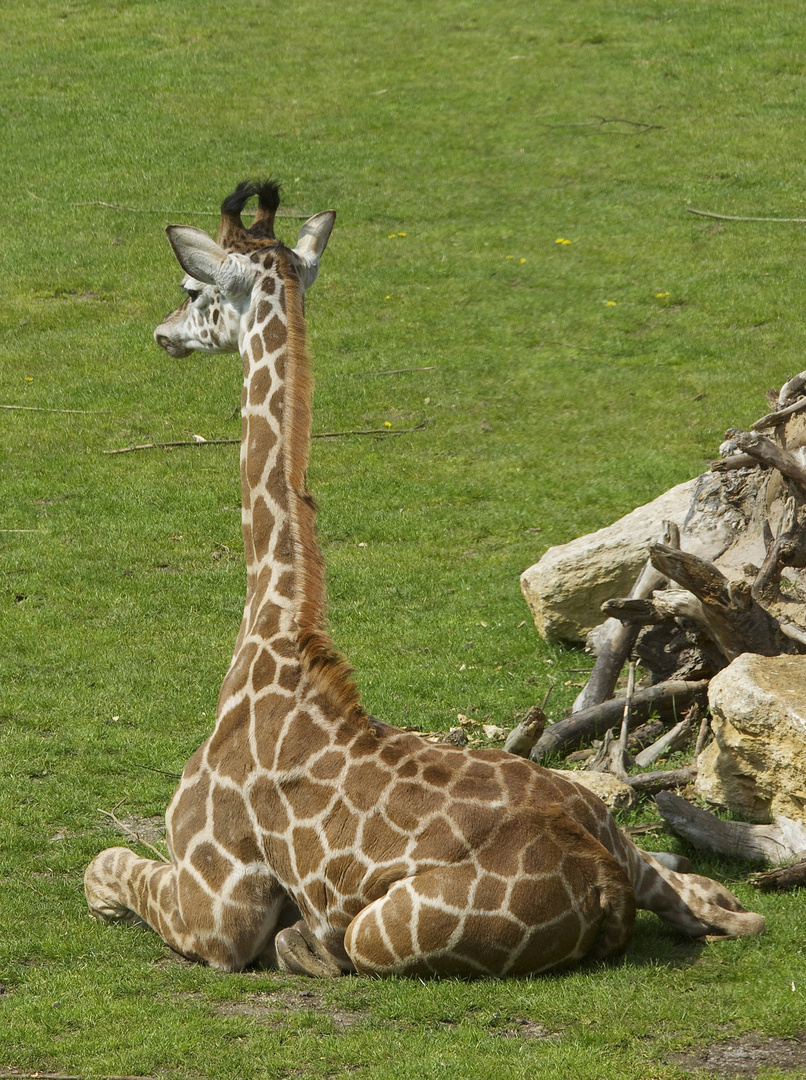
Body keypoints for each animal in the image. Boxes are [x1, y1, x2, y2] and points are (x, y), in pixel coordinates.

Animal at [83, 179, 764, 980]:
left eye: (193, 289)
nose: (163, 333)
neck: (270, 638)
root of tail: (601, 878)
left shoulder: (216, 908)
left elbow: (102, 865)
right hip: (634, 847)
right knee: (723, 905)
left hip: (379, 933)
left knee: (346, 940)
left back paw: (311, 945)